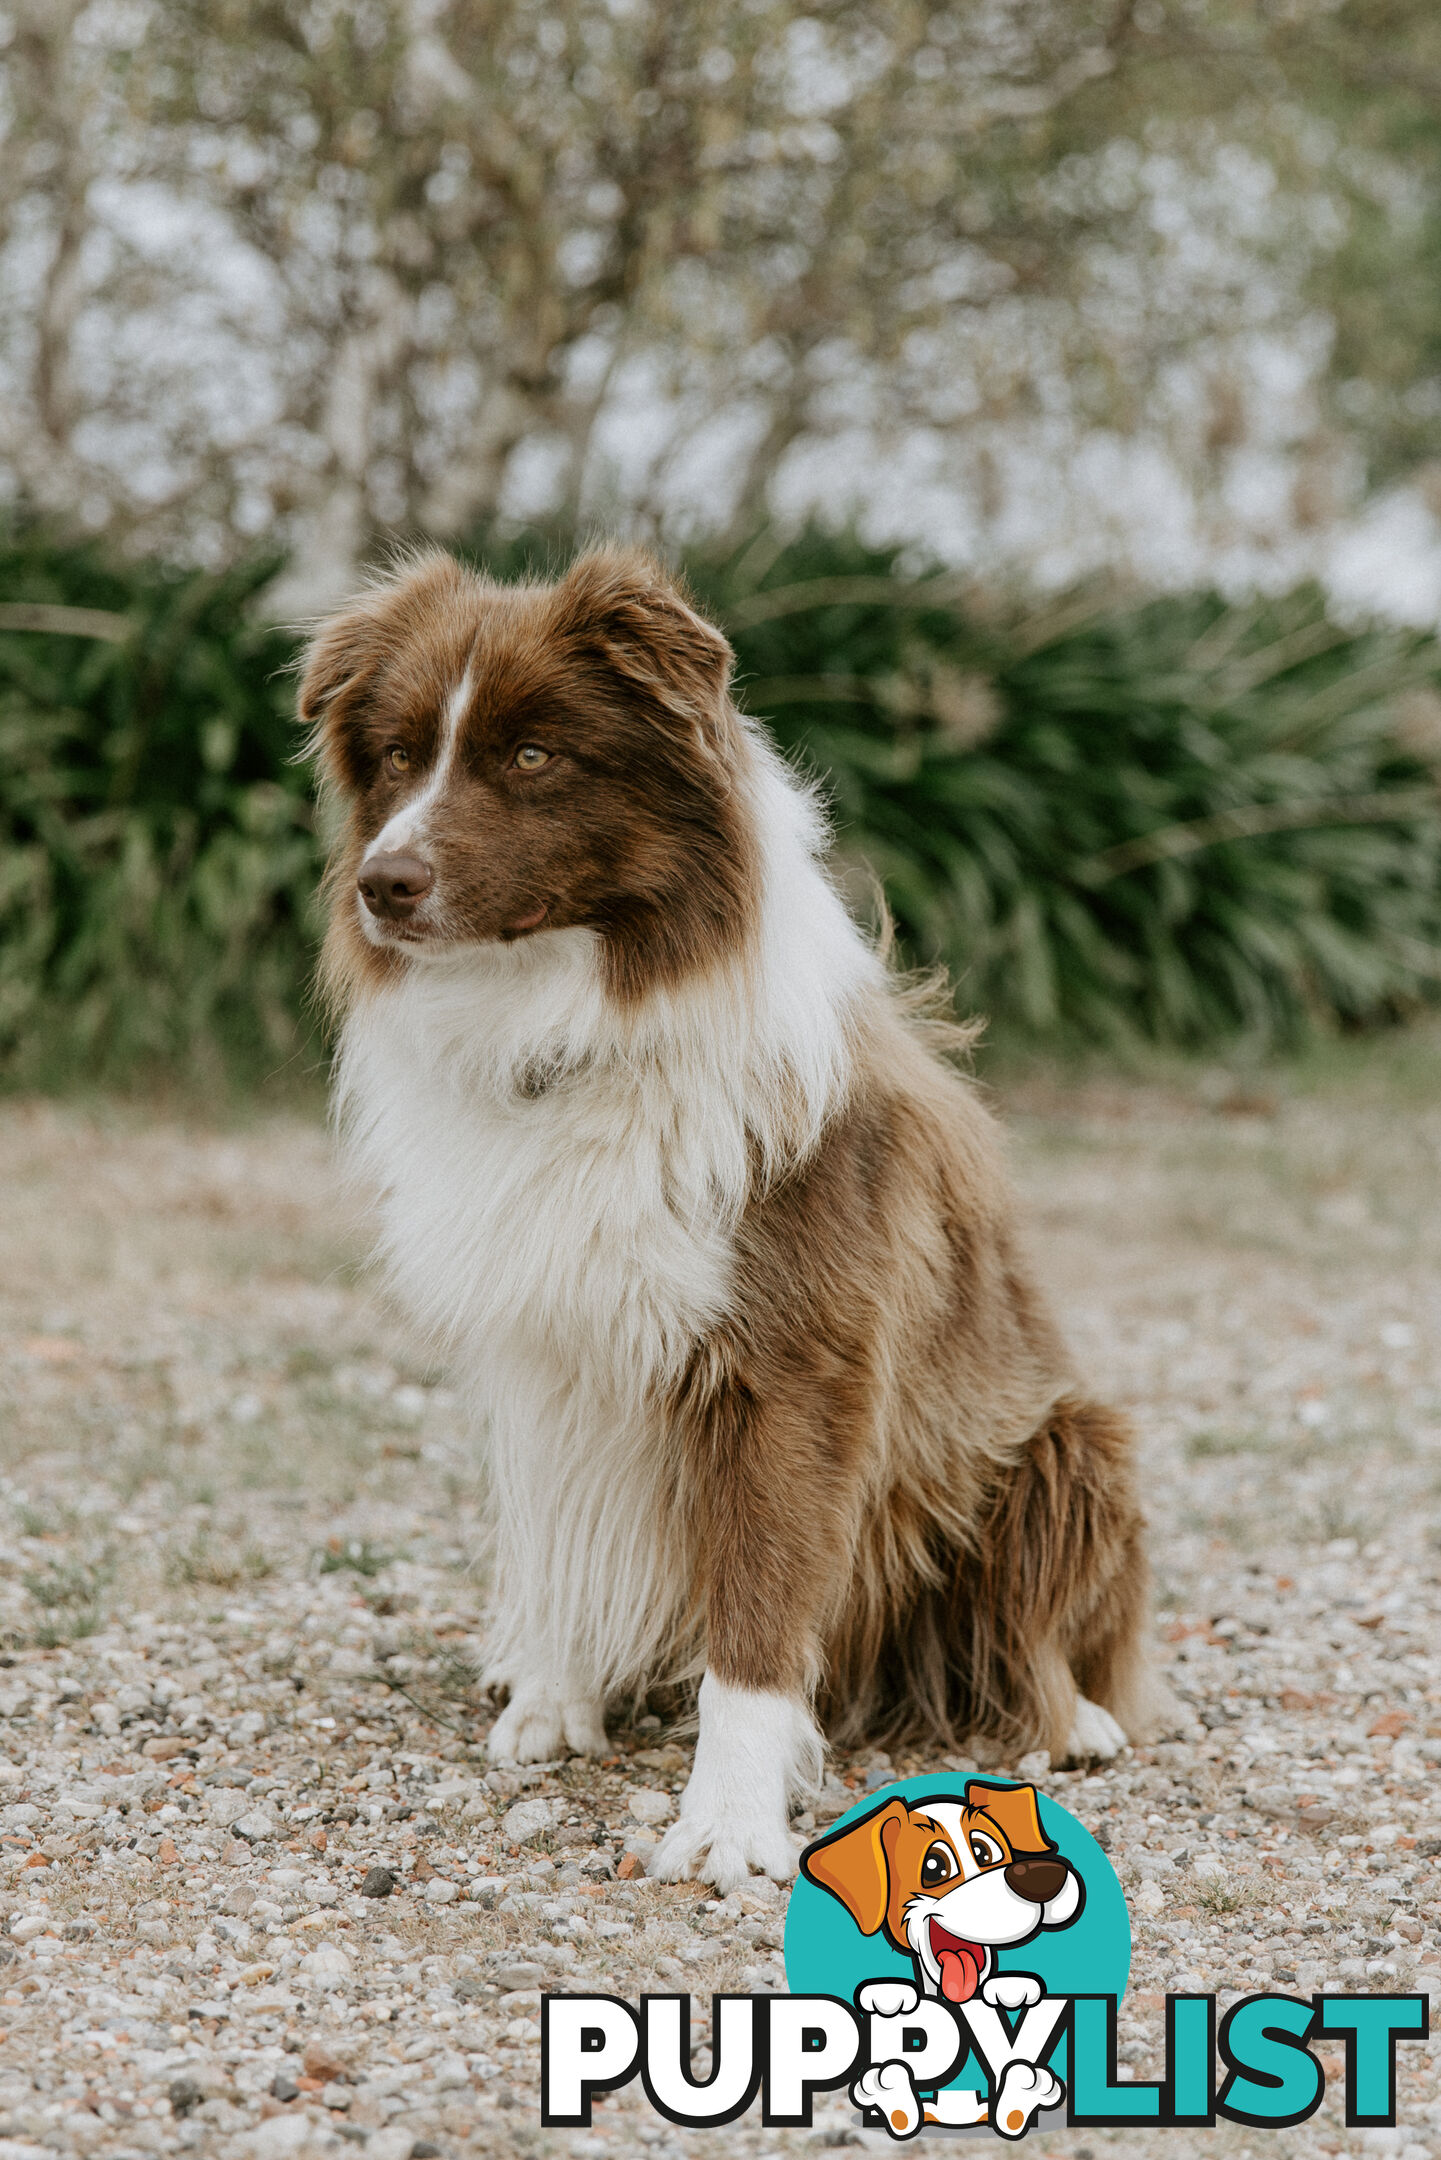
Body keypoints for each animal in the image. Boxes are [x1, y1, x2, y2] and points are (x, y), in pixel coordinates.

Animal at [302, 544, 1157, 1892]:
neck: (575, 1023)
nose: (383, 885)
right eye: (393, 755)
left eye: (533, 755)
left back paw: (1070, 1718)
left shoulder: (793, 1361)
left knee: (1047, 1627)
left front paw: (729, 1821)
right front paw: (553, 1700)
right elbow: (556, 1536)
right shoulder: (544, 1337)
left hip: (1069, 1441)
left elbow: (757, 1608)